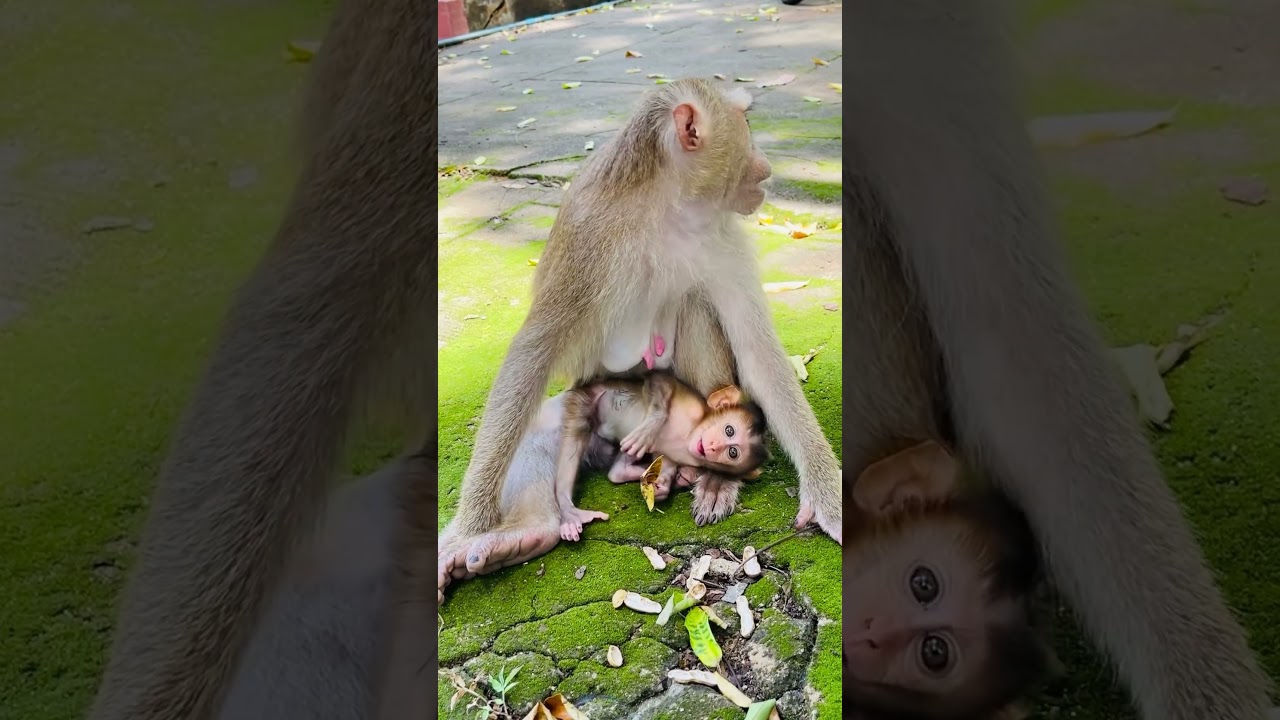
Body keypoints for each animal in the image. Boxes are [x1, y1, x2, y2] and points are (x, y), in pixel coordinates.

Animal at [554, 371, 770, 540]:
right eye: (729, 430)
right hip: (585, 399)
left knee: (617, 467)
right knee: (574, 437)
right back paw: (568, 511)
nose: (713, 447)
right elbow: (660, 379)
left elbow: (665, 462)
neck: (688, 438)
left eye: (732, 452)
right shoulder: (692, 406)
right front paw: (653, 423)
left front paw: (663, 486)